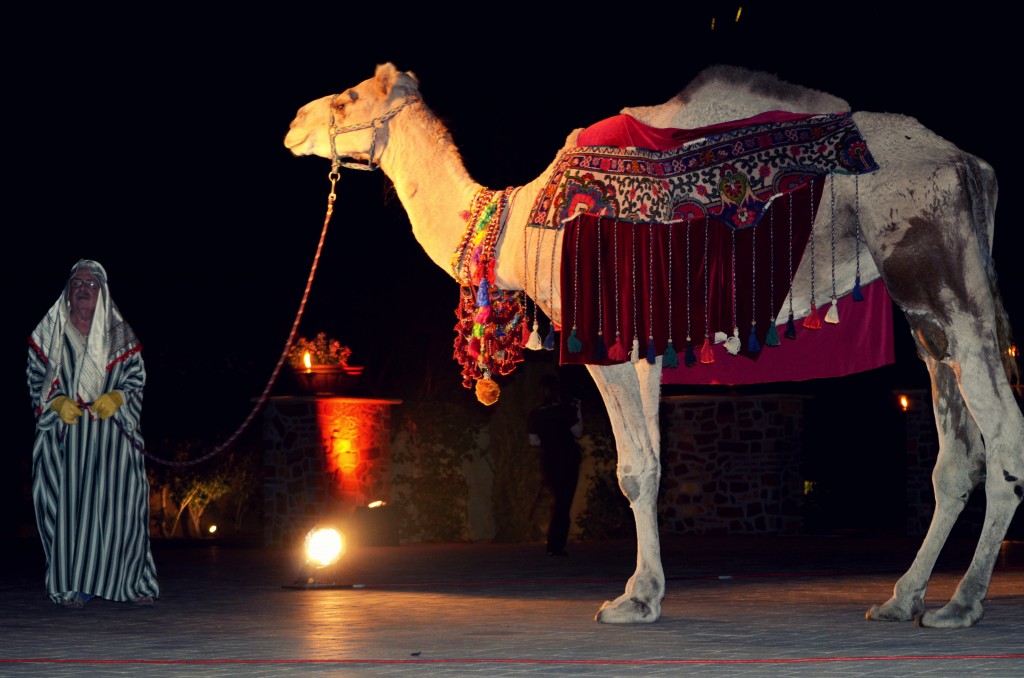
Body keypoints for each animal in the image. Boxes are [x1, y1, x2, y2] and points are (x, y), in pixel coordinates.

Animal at [284, 63, 1023, 627]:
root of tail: (975, 166)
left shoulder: (604, 340)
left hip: (941, 271)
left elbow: (634, 470)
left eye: (347, 98)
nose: (294, 123)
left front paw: (633, 601)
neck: (518, 225)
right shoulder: (643, 345)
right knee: (956, 449)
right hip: (923, 310)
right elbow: (652, 467)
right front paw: (647, 592)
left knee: (1004, 427)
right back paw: (903, 600)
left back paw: (962, 604)